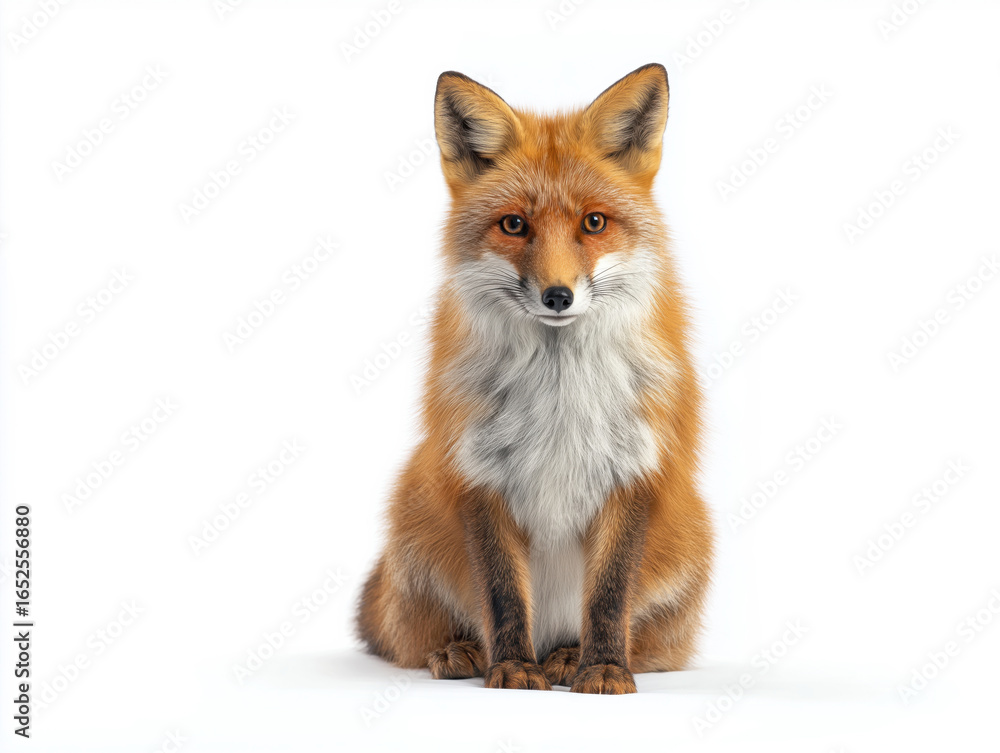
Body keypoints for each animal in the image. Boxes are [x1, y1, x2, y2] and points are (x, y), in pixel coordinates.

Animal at [355, 63, 714, 694]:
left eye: (594, 222)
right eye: (514, 225)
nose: (558, 296)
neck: (559, 396)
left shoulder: (636, 471)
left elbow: (610, 595)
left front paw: (604, 668)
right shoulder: (477, 472)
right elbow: (501, 593)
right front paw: (513, 668)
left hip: (692, 531)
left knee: (649, 643)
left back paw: (569, 656)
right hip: (412, 511)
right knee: (412, 637)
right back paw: (464, 651)